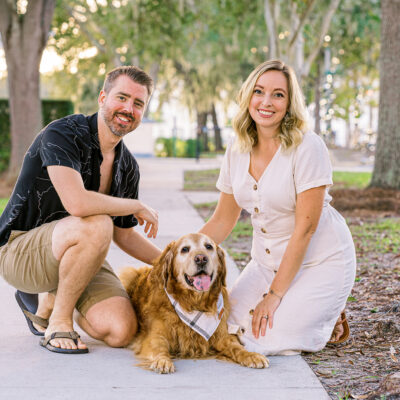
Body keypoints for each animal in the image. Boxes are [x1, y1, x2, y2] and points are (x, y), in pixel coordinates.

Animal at [119, 233, 268, 374]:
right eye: (184, 249)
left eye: (208, 246)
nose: (201, 258)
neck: (193, 302)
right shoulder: (156, 336)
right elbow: (159, 348)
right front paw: (162, 361)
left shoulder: (222, 336)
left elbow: (237, 347)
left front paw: (252, 355)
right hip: (128, 275)